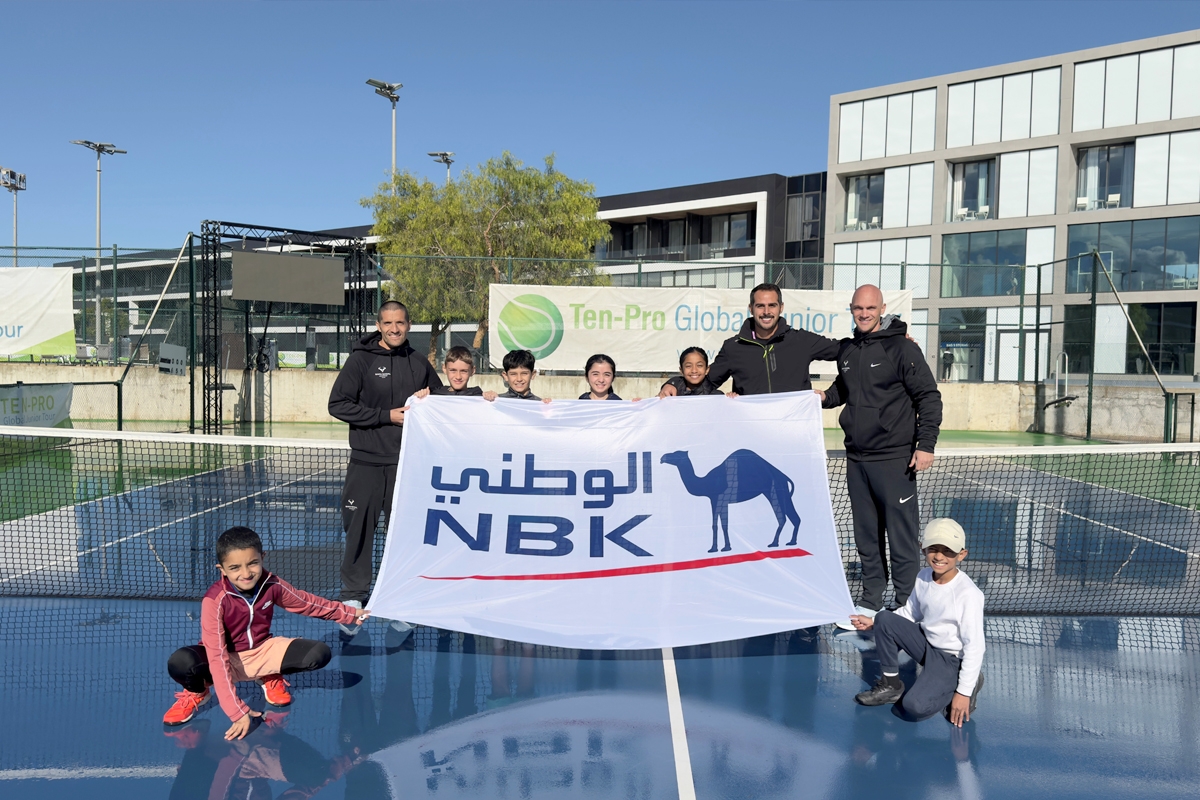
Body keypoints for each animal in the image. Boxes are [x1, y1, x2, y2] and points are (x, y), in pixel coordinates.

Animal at [660, 449, 801, 553]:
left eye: (677, 454)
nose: (663, 457)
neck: (706, 482)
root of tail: (784, 476)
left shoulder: (718, 498)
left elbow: (718, 524)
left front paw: (718, 548)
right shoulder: (720, 501)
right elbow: (721, 524)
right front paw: (721, 548)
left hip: (775, 489)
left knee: (782, 517)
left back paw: (775, 543)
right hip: (778, 490)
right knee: (791, 516)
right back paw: (789, 542)